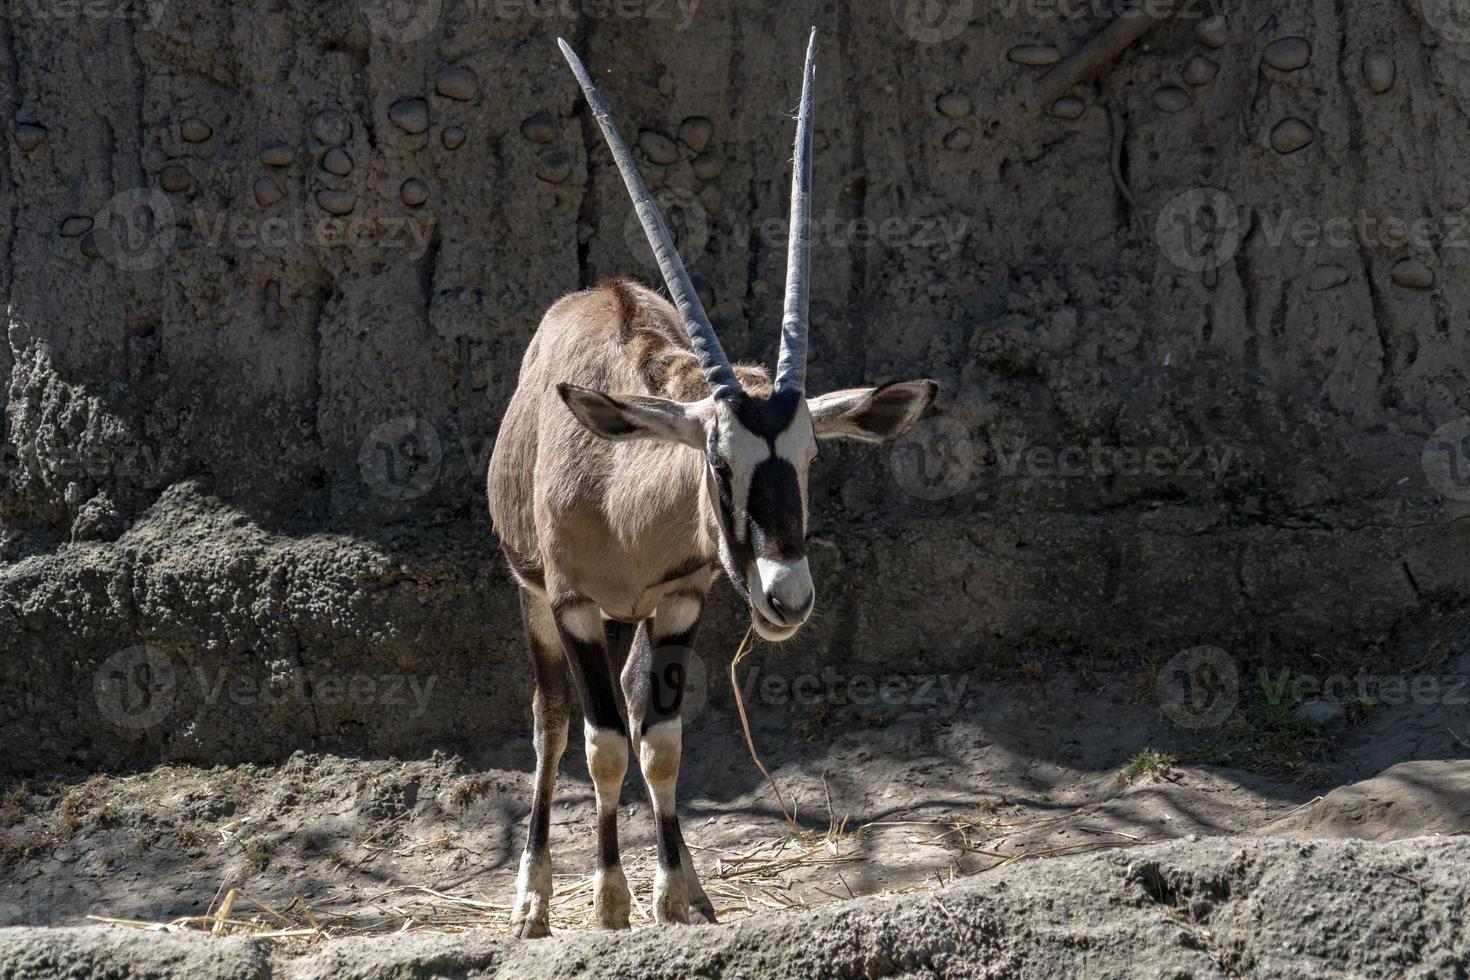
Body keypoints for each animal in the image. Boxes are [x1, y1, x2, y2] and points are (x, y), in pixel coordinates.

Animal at [488, 30, 934, 934]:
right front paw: (610, 902)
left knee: (632, 708)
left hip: (636, 619)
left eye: (809, 458)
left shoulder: (680, 602)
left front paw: (670, 896)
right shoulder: (571, 604)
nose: (788, 598)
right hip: (533, 599)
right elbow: (600, 745)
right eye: (720, 462)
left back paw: (684, 883)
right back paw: (534, 897)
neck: (618, 488)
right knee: (552, 725)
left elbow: (660, 744)